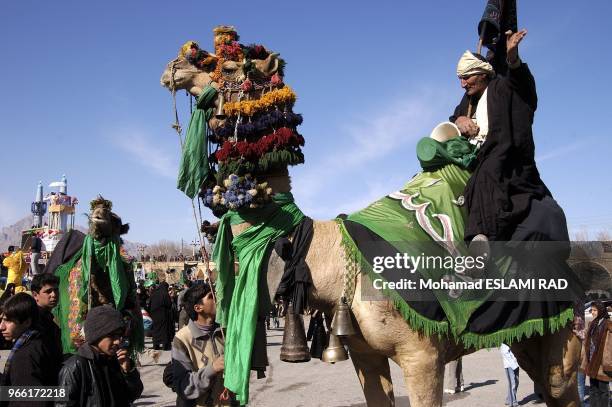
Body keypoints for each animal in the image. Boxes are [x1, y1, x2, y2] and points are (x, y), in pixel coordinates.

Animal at [160, 39, 580, 407]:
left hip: (558, 328)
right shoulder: (364, 355)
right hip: (526, 335)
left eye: (230, 65)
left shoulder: (423, 355)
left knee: (561, 388)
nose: (174, 67)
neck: (327, 252)